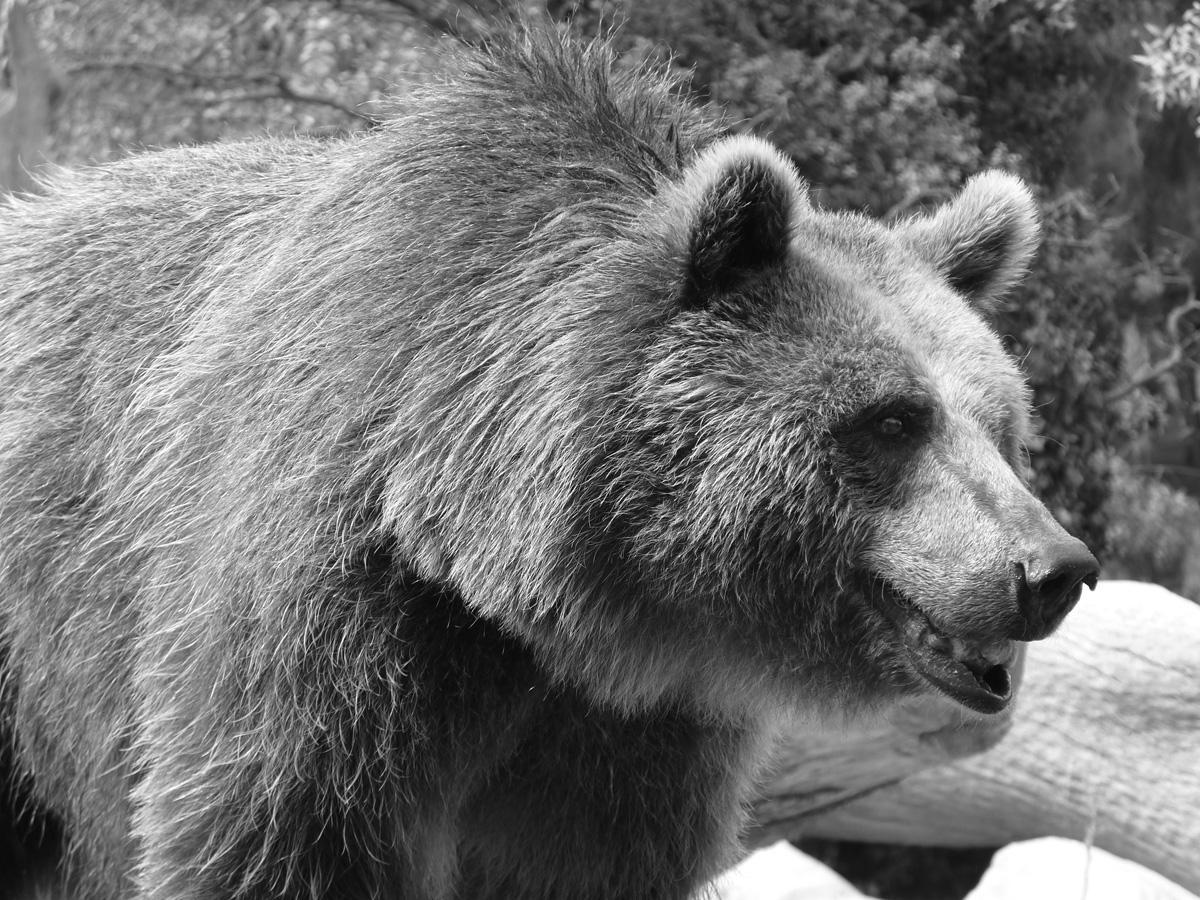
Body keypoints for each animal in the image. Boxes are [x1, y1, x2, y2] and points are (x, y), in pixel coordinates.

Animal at [0, 26, 1098, 900]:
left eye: (1001, 423)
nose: (1053, 569)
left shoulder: (622, 739)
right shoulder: (325, 633)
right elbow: (274, 842)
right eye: (892, 419)